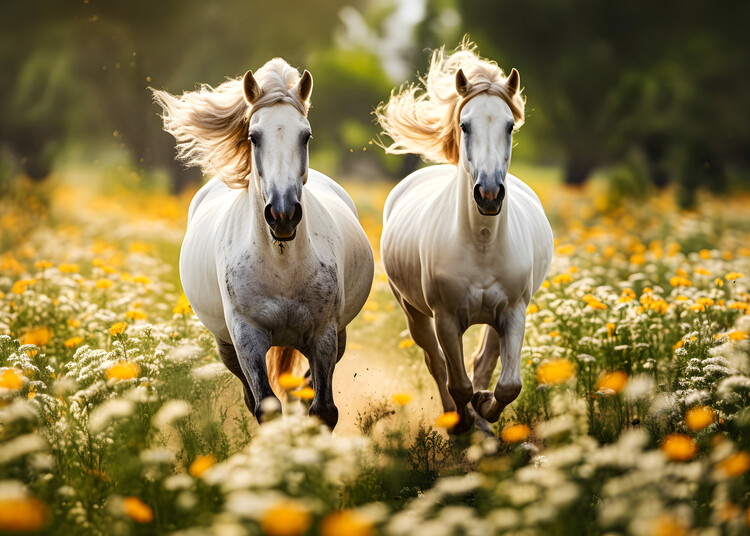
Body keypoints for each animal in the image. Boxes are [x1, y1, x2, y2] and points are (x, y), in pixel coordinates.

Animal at [153, 58, 374, 429]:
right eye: (253, 136)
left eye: (306, 135)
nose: (283, 214)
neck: (281, 263)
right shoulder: (247, 337)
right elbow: (266, 406)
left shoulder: (324, 335)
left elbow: (323, 410)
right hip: (226, 346)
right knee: (249, 394)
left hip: (336, 337)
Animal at [376, 42, 553, 434]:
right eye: (464, 125)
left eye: (509, 126)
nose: (488, 194)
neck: (482, 244)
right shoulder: (445, 318)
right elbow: (457, 382)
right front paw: (464, 421)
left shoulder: (514, 312)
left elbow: (508, 384)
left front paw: (484, 409)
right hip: (414, 313)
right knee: (437, 364)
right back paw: (459, 422)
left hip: (497, 319)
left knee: (483, 362)